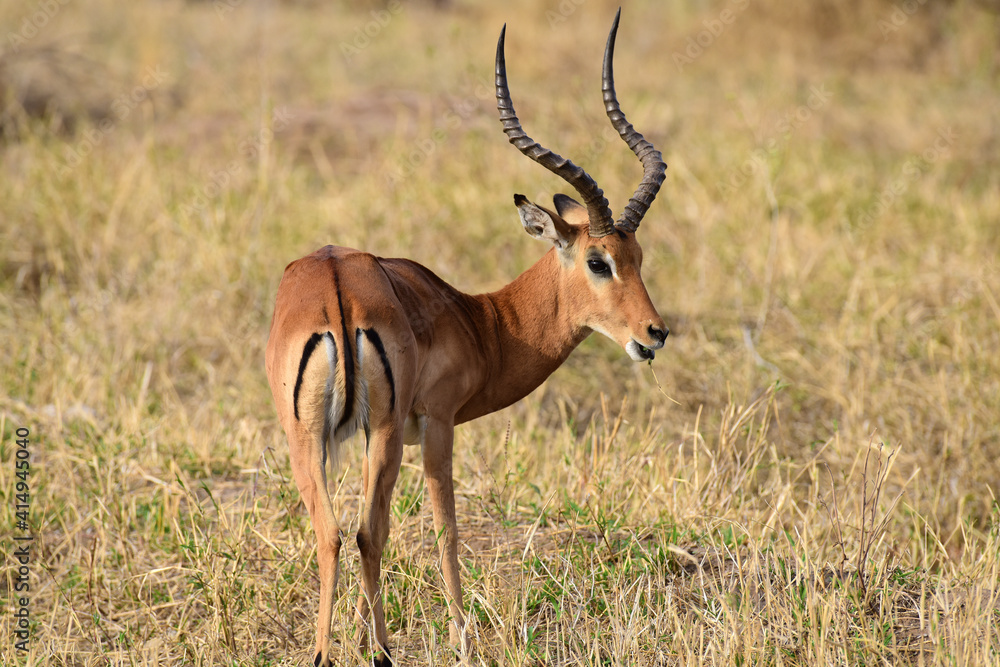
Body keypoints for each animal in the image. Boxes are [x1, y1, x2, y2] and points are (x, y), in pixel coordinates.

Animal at [264, 9, 667, 666]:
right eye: (598, 261)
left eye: (638, 256)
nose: (655, 334)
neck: (479, 319)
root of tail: (334, 288)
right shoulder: (437, 423)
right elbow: (446, 529)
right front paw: (462, 637)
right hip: (378, 432)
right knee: (367, 532)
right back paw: (383, 651)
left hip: (308, 436)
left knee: (332, 532)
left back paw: (331, 651)